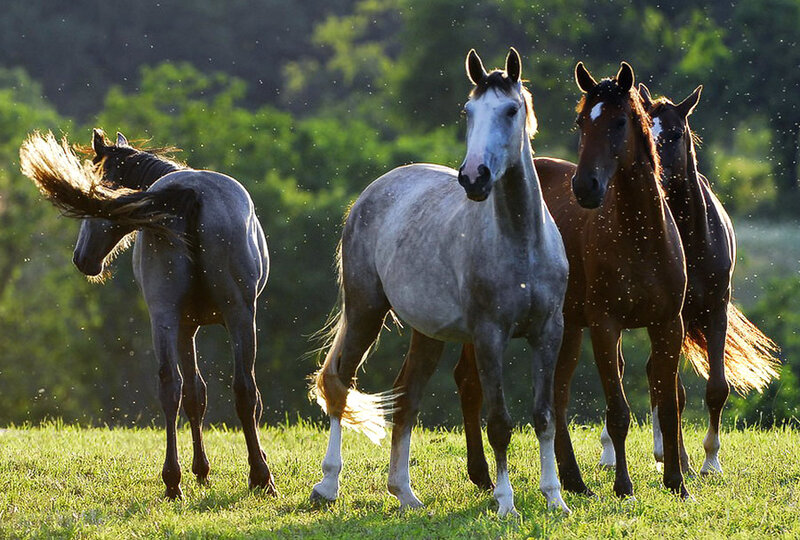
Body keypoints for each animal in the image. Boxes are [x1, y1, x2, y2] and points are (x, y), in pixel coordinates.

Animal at [19, 130, 275, 499]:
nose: (81, 258)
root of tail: (191, 194)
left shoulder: (187, 326)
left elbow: (195, 394)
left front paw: (203, 469)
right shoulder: (187, 327)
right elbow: (196, 394)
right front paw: (202, 469)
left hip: (187, 317)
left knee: (187, 388)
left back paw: (182, 480)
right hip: (224, 316)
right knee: (234, 389)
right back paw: (251, 476)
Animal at [309, 48, 570, 517]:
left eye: (511, 109)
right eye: (469, 111)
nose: (474, 177)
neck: (521, 241)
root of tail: (374, 192)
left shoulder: (548, 333)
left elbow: (544, 417)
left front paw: (555, 499)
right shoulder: (489, 337)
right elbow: (499, 423)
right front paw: (506, 504)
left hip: (426, 333)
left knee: (406, 398)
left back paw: (404, 493)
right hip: (365, 311)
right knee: (339, 384)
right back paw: (328, 484)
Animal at [452, 62, 691, 499]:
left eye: (619, 121)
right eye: (582, 122)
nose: (585, 186)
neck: (641, 236)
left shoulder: (668, 324)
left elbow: (668, 404)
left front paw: (677, 483)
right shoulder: (605, 327)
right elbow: (618, 411)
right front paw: (624, 486)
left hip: (567, 329)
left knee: (557, 399)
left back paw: (573, 480)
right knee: (470, 382)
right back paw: (482, 473)